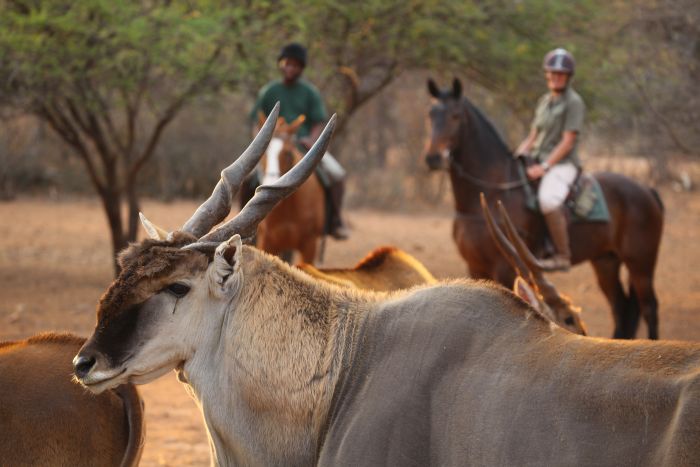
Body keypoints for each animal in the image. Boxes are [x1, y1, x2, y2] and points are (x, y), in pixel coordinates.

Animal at [424, 77, 664, 340]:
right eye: (431, 114)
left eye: (455, 115)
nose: (433, 158)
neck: (492, 189)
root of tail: (647, 190)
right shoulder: (475, 267)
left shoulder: (503, 268)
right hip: (606, 261)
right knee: (620, 309)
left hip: (640, 263)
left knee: (649, 307)